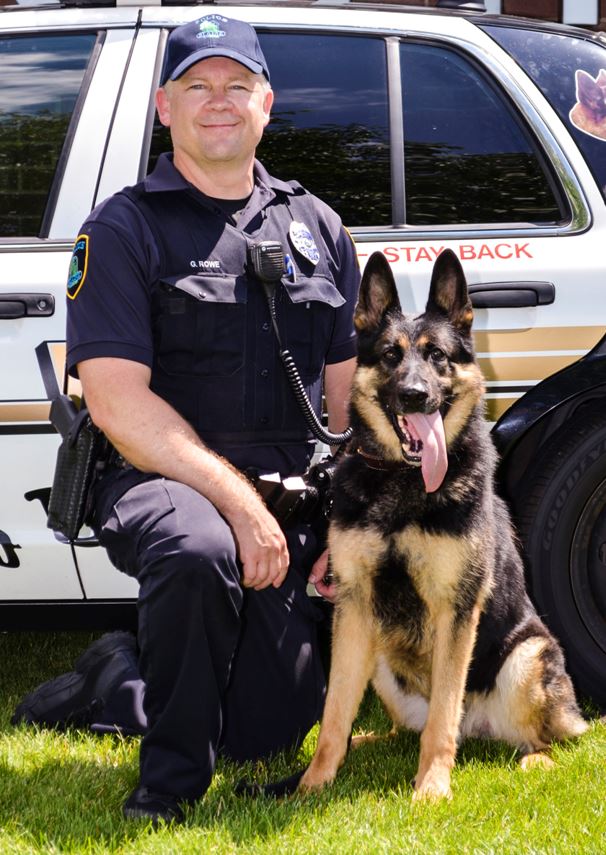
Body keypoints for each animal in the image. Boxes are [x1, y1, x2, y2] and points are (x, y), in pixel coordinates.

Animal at [302, 249, 592, 804]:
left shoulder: (456, 610)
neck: (404, 482)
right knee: (401, 726)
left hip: (526, 657)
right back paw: (365, 742)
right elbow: (333, 711)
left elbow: (442, 717)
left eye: (437, 356)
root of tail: (479, 730)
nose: (415, 395)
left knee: (538, 739)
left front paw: (432, 787)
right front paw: (313, 782)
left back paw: (532, 761)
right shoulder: (353, 607)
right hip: (381, 657)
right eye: (390, 356)